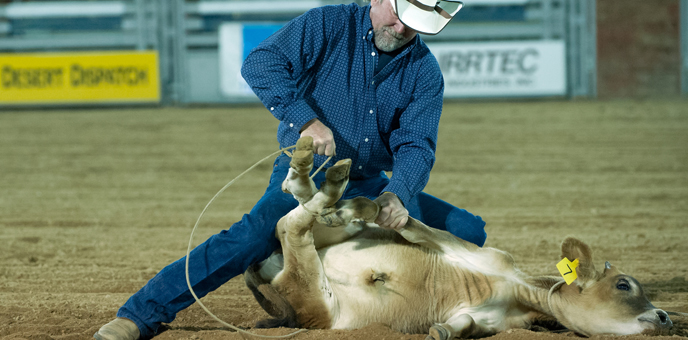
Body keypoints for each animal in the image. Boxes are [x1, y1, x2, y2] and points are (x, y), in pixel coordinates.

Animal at [246, 137, 672, 338]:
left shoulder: (488, 320)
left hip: (311, 284)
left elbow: (463, 325)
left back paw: (318, 184)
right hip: (321, 267)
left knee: (294, 221)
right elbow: (413, 226)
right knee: (295, 219)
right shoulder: (473, 252)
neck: (514, 289)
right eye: (624, 284)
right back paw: (323, 181)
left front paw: (441, 331)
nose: (666, 317)